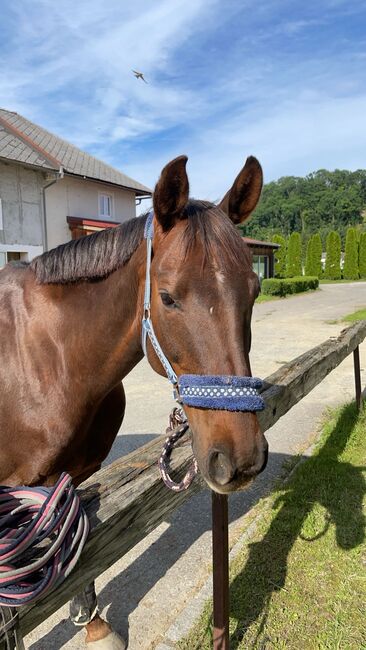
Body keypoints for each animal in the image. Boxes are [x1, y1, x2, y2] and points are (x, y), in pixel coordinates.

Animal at [0, 152, 266, 644]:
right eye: (168, 297)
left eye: (255, 290)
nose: (240, 459)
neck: (45, 358)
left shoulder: (73, 476)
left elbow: (77, 545)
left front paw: (94, 625)